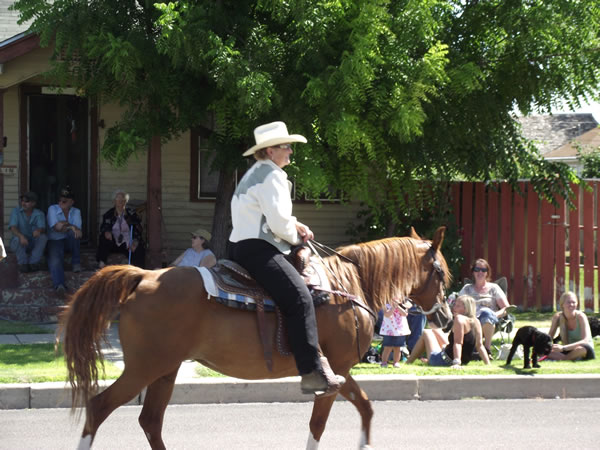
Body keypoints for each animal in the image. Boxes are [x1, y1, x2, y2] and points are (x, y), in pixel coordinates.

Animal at [63, 227, 452, 448]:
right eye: (439, 272)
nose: (446, 318)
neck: (348, 286)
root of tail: (143, 276)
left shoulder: (340, 372)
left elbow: (366, 409)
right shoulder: (334, 374)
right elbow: (318, 425)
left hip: (165, 370)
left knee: (150, 422)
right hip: (143, 368)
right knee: (99, 408)